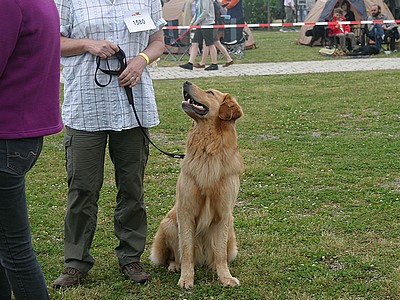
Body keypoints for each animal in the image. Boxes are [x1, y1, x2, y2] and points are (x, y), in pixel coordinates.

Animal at [150, 80, 244, 288]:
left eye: (210, 92)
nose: (186, 82)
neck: (208, 149)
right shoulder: (185, 212)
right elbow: (186, 250)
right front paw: (186, 278)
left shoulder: (224, 214)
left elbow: (220, 253)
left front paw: (225, 277)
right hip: (168, 224)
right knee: (175, 255)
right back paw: (175, 265)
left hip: (231, 232)